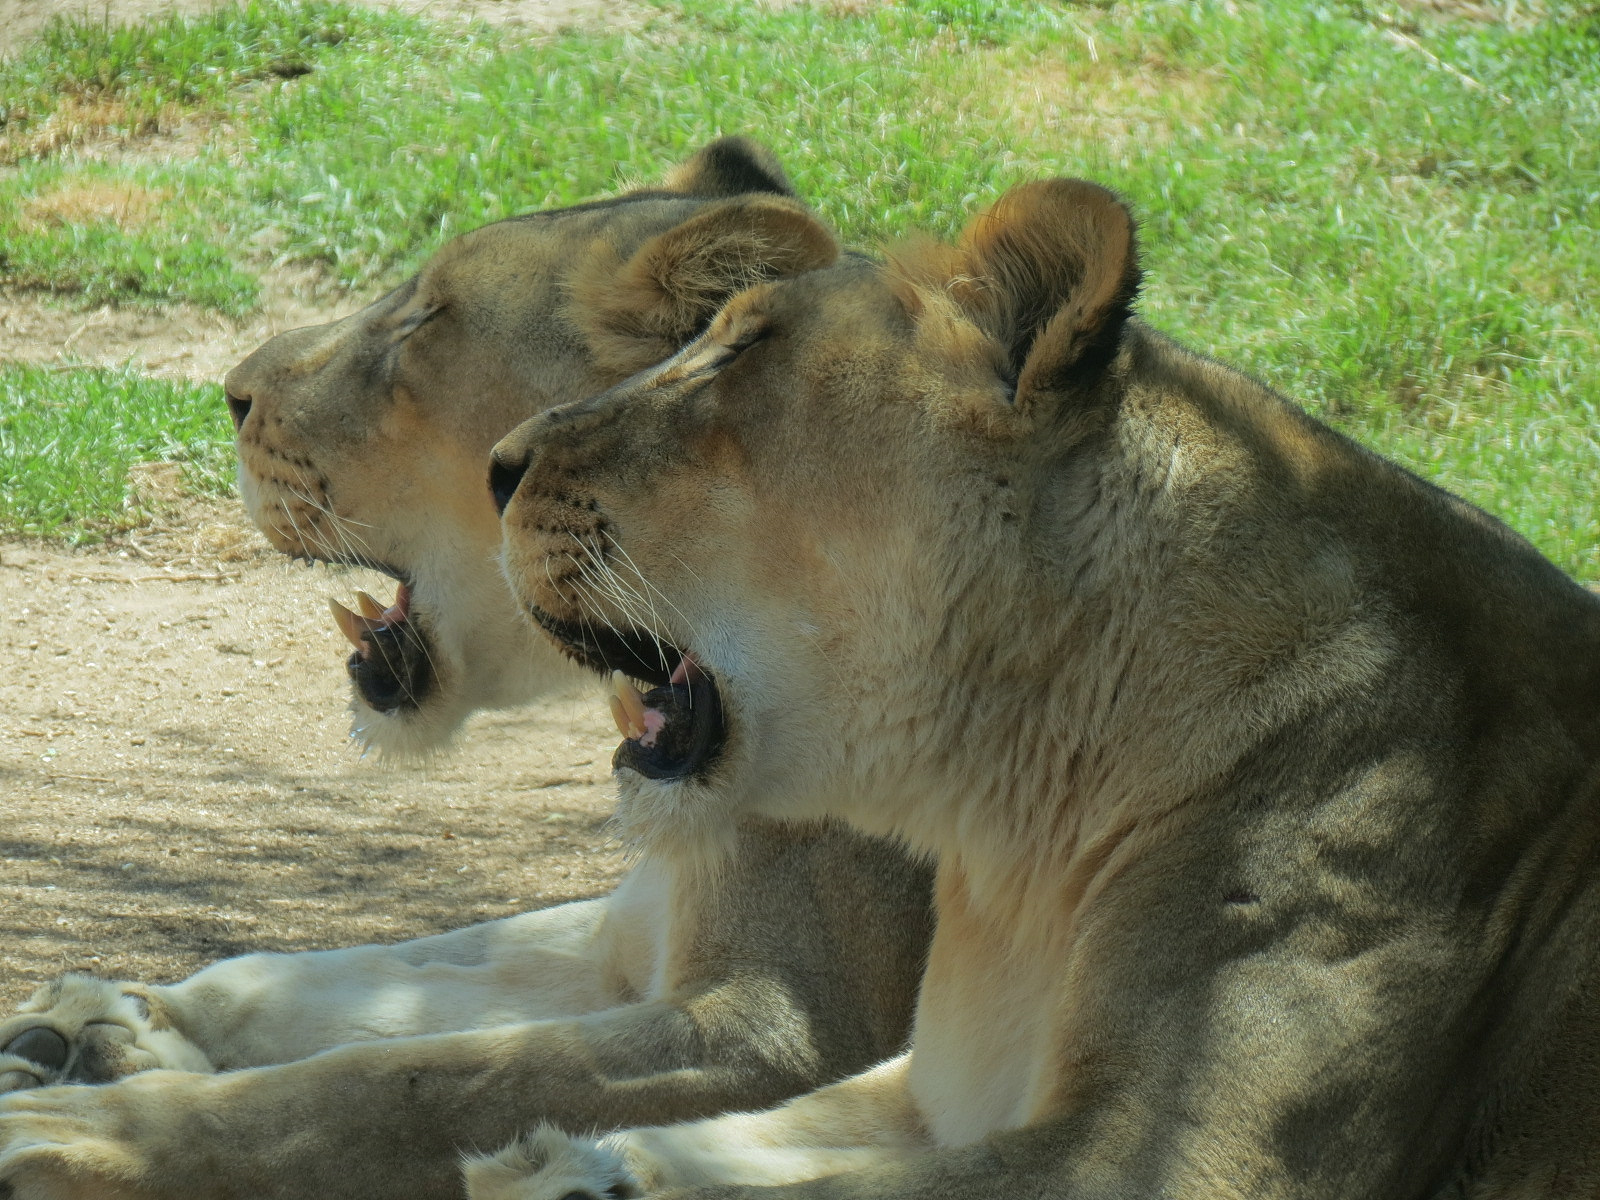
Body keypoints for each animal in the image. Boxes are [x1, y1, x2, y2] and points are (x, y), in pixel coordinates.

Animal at [0, 140, 933, 1199]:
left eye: (425, 319)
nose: (230, 391)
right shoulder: (620, 937)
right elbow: (379, 973)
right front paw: (95, 1026)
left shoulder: (786, 1023)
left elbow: (392, 1084)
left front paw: (84, 1125)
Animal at [477, 178, 1600, 1198]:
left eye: (741, 353)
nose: (495, 467)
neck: (1015, 840)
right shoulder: (923, 1092)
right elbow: (727, 1142)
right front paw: (568, 1161)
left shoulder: (1174, 1152)